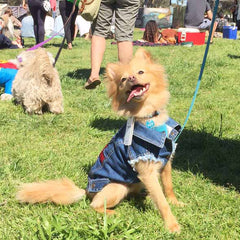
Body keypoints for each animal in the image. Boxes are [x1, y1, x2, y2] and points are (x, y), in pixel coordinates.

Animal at [15, 48, 183, 232]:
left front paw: (175, 202)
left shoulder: (166, 160)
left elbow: (168, 186)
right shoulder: (146, 170)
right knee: (95, 205)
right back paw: (114, 213)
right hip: (116, 187)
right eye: (123, 79)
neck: (150, 117)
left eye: (140, 72)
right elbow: (161, 200)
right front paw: (172, 224)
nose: (131, 78)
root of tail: (87, 191)